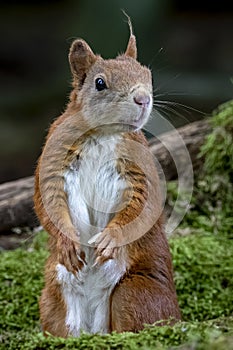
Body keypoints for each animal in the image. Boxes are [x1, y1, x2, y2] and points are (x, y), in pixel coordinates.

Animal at [33, 20, 181, 338]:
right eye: (100, 83)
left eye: (147, 74)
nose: (143, 99)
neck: (103, 133)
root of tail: (94, 325)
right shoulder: (53, 159)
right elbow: (47, 201)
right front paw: (67, 241)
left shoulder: (139, 168)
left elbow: (142, 205)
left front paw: (111, 239)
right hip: (53, 296)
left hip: (134, 292)